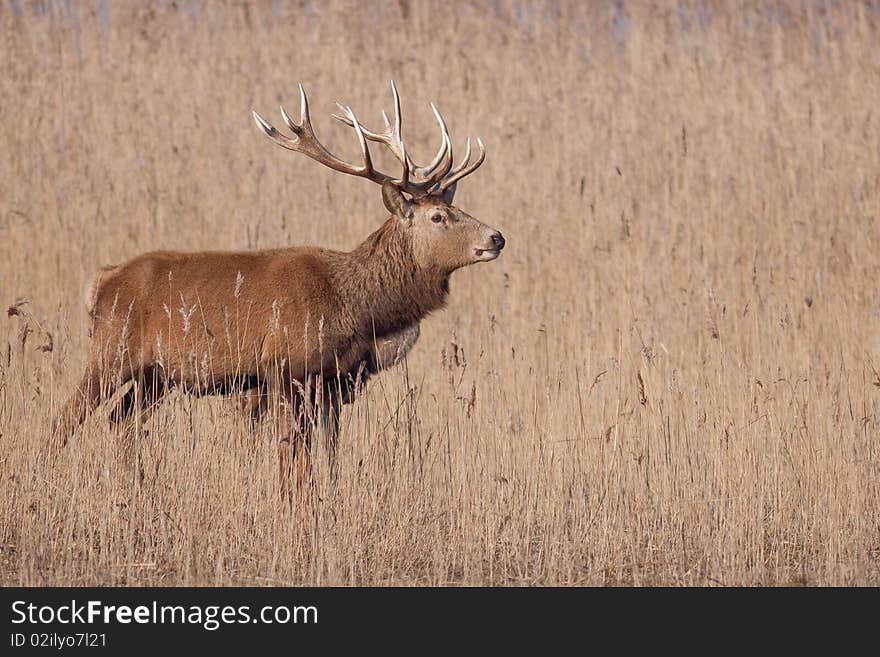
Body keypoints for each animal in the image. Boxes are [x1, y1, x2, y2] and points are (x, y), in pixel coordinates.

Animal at [55, 82, 506, 490]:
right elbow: (294, 458)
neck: (353, 305)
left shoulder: (331, 382)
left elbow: (328, 455)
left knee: (120, 420)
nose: (496, 237)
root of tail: (101, 283)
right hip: (111, 350)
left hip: (157, 376)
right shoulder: (284, 367)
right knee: (67, 417)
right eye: (437, 217)